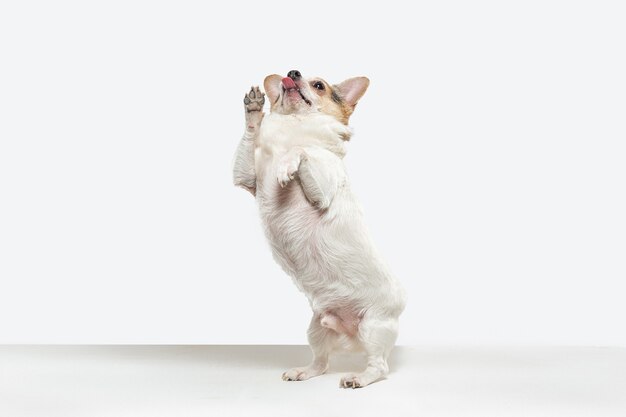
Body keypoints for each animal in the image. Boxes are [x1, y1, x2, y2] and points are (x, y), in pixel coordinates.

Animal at [233, 69, 404, 386]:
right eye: (288, 78)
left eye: (319, 86)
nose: (292, 72)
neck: (294, 127)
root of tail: (351, 336)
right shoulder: (246, 178)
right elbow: (252, 137)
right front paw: (253, 110)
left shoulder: (322, 194)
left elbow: (304, 150)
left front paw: (289, 163)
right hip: (317, 327)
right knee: (322, 363)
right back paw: (304, 371)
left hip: (373, 326)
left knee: (380, 366)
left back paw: (359, 378)